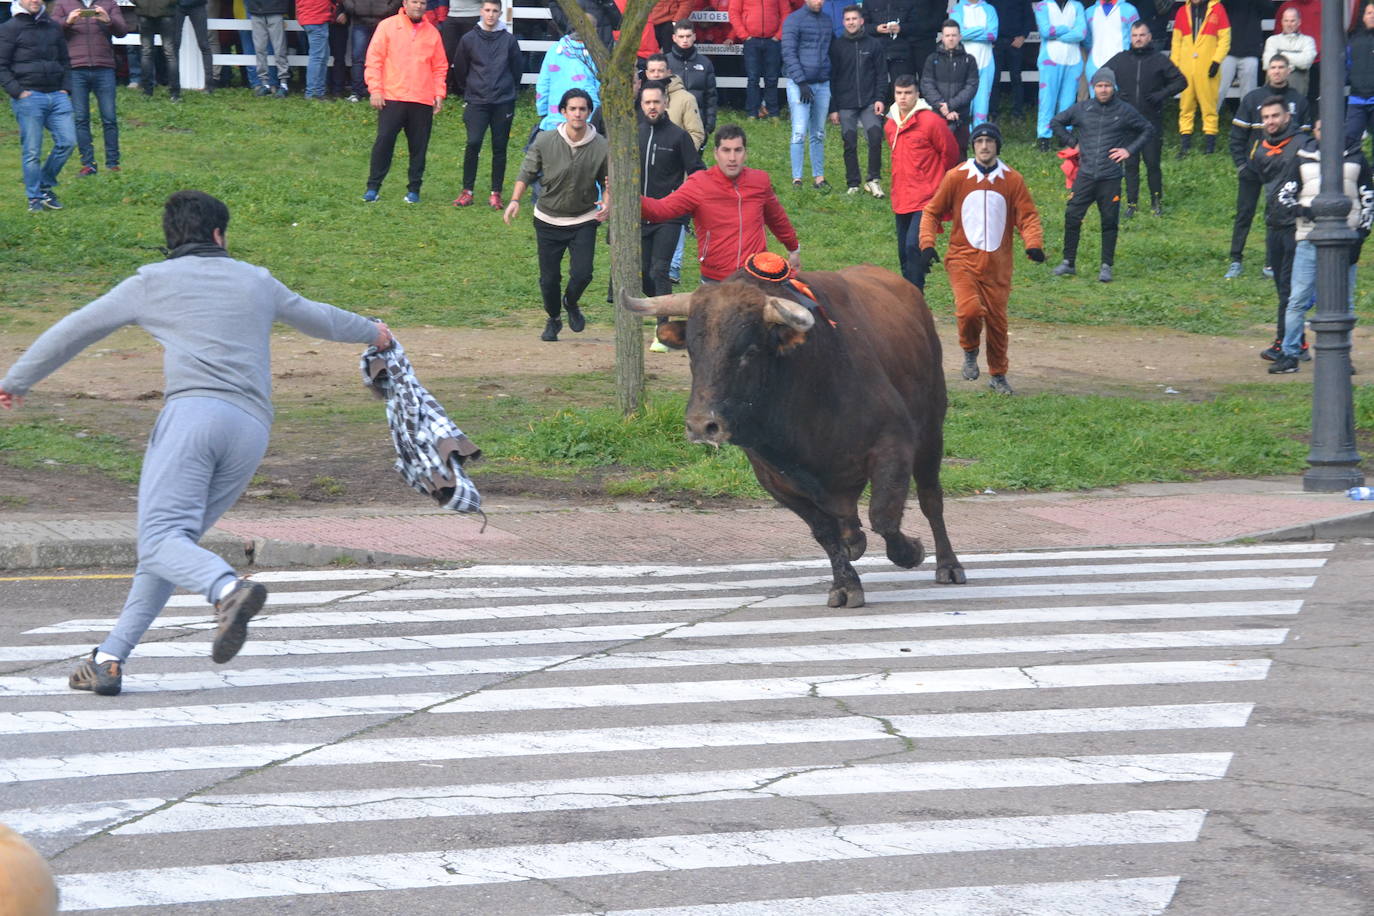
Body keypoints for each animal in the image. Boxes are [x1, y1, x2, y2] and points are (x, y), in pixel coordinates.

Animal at [623, 265, 967, 609]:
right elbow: (825, 531)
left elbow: (884, 515)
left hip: (931, 431)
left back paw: (949, 565)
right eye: (693, 353)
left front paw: (911, 552)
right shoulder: (774, 478)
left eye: (749, 351)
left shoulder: (894, 443)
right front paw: (846, 584)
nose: (700, 425)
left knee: (931, 499)